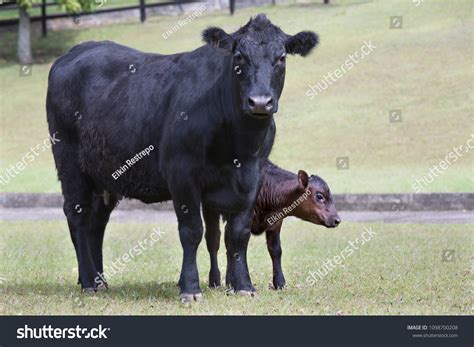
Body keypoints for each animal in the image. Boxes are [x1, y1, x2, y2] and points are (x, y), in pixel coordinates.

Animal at [47, 13, 318, 302]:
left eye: (281, 58)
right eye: (239, 57)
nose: (259, 101)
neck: (239, 144)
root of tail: (77, 50)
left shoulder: (253, 176)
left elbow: (238, 233)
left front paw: (243, 285)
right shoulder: (182, 174)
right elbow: (192, 231)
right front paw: (190, 288)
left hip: (104, 174)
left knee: (97, 221)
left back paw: (100, 281)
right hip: (70, 164)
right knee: (78, 216)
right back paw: (88, 281)